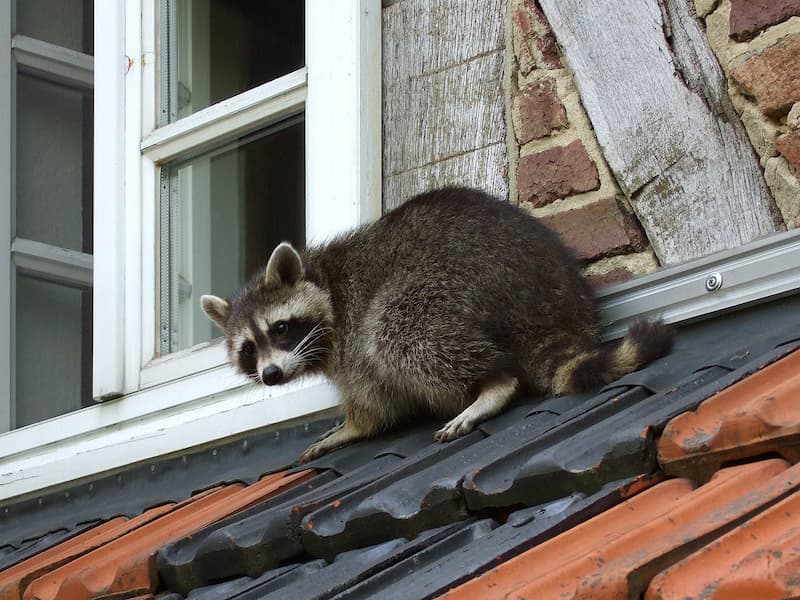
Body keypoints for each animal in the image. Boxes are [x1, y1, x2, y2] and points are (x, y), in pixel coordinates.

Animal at [202, 188, 676, 464]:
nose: (270, 375)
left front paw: (354, 426)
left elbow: (374, 400)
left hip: (452, 280)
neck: (323, 279)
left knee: (397, 332)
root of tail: (546, 298)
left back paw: (492, 383)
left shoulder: (350, 334)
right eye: (248, 348)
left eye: (281, 329)